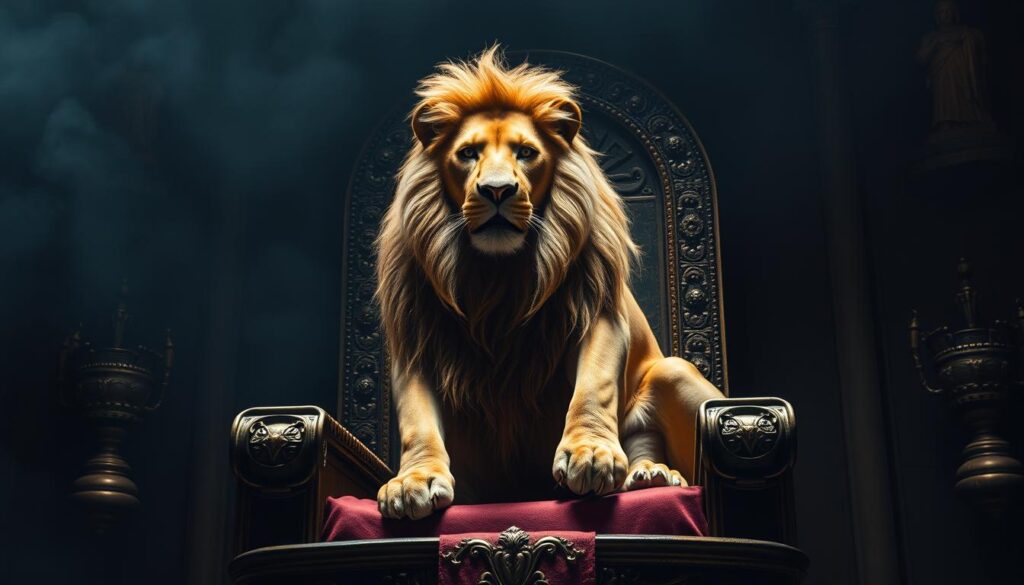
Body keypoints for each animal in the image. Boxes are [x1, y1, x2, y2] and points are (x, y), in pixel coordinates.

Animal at [374, 47, 724, 519]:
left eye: (525, 152)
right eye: (467, 153)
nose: (497, 190)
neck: (497, 277)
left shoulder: (600, 314)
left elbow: (594, 387)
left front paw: (591, 454)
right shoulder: (415, 340)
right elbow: (416, 418)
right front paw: (415, 480)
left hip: (674, 371)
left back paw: (653, 474)